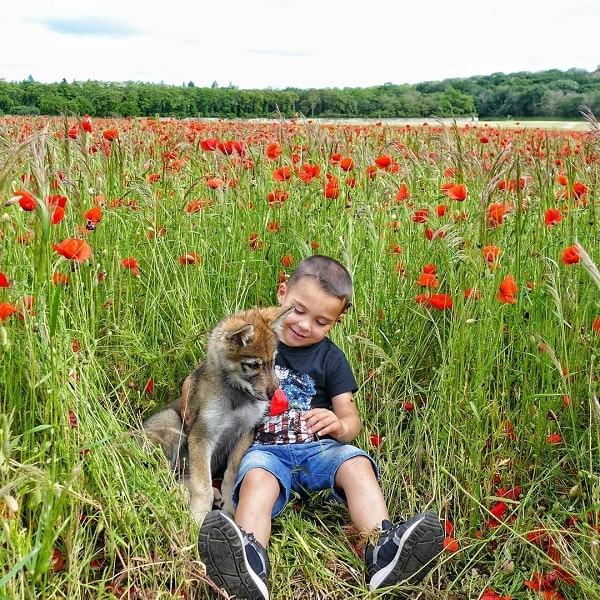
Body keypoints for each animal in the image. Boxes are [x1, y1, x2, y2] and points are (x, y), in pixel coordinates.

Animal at [141, 308, 290, 524]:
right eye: (253, 365)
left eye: (273, 360)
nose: (274, 394)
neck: (237, 398)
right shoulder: (201, 436)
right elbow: (202, 487)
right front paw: (198, 518)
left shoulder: (245, 433)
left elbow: (231, 476)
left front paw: (230, 508)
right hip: (172, 423)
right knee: (159, 475)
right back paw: (180, 496)